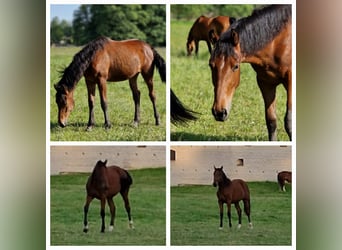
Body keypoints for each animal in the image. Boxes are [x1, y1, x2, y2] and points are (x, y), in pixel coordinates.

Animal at [208, 4, 292, 141]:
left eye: (236, 66)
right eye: (211, 65)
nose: (219, 112)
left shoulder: (290, 82)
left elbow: (289, 121)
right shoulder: (265, 83)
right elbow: (271, 121)